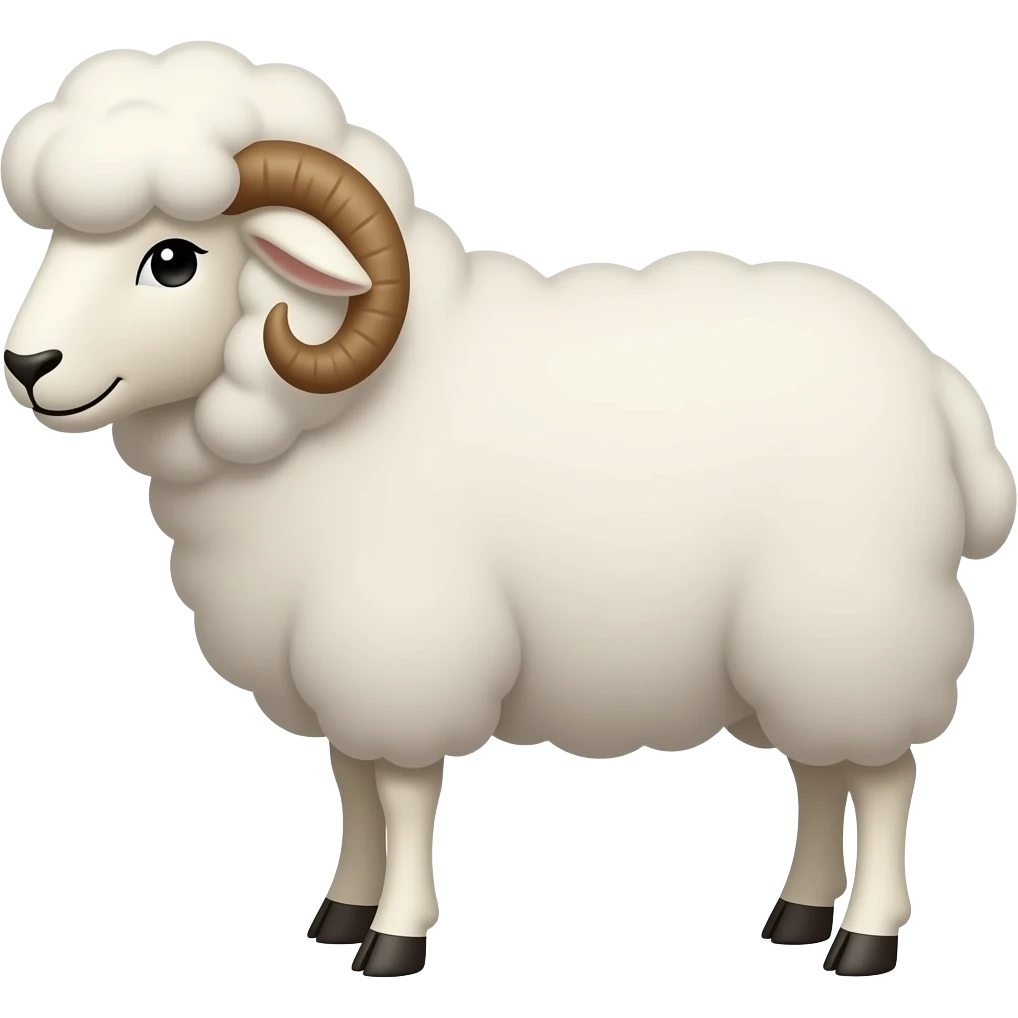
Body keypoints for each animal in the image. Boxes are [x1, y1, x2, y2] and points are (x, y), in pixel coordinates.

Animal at [2, 41, 1015, 981]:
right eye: (57, 242)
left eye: (173, 258)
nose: (27, 364)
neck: (318, 429)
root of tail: (935, 378)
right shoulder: (337, 660)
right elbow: (352, 786)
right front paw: (341, 913)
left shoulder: (402, 642)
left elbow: (401, 795)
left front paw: (394, 939)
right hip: (789, 651)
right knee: (819, 771)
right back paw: (795, 916)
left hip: (853, 625)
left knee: (879, 778)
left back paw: (863, 940)